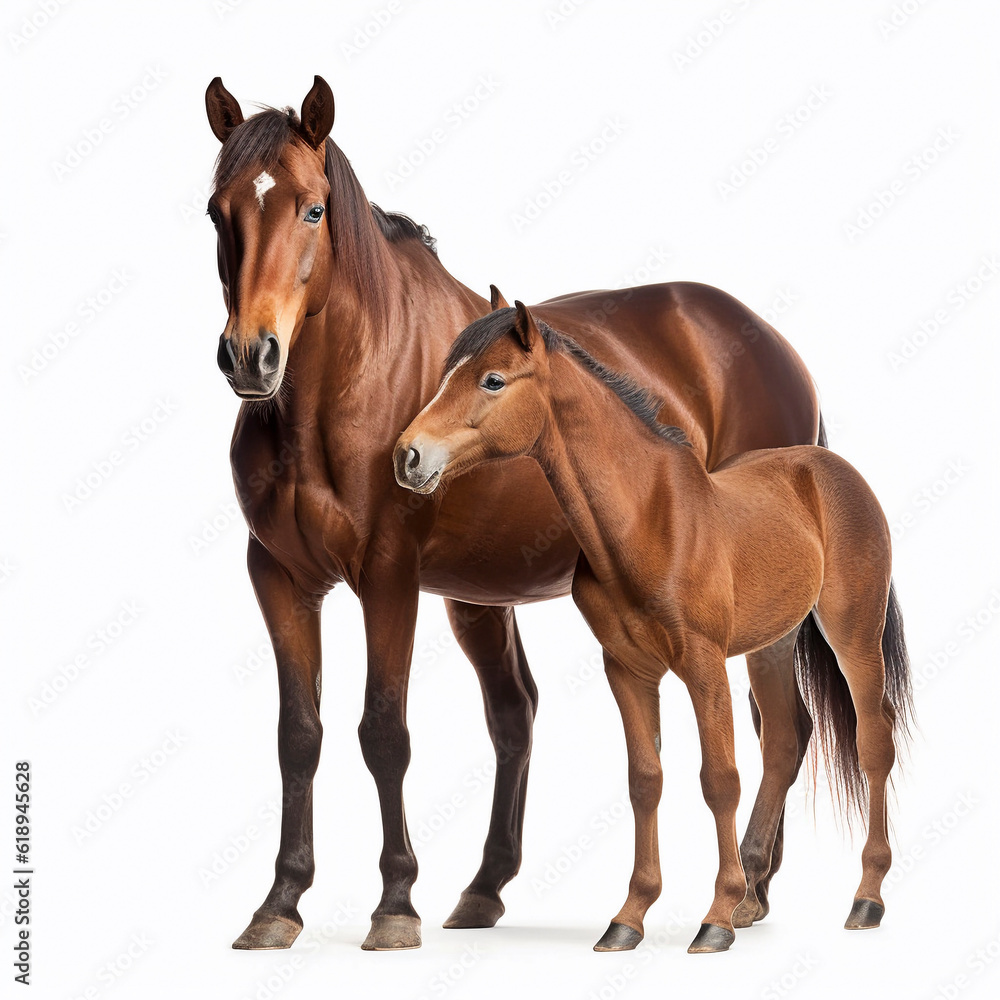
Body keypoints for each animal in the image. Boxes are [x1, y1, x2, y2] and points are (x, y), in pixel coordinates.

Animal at [205, 74, 839, 952]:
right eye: (217, 211)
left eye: (311, 208)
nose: (251, 356)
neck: (346, 387)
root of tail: (771, 343)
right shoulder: (279, 577)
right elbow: (299, 736)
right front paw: (280, 902)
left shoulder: (388, 576)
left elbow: (383, 732)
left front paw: (394, 903)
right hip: (483, 600)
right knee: (523, 714)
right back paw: (501, 887)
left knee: (781, 728)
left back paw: (742, 892)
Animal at [393, 300, 913, 953]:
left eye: (492, 380)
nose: (407, 456)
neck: (647, 519)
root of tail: (829, 466)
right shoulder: (628, 670)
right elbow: (645, 781)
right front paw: (629, 919)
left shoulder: (703, 664)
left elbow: (719, 779)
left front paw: (714, 920)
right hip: (773, 644)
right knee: (785, 739)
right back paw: (754, 899)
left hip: (854, 633)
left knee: (874, 740)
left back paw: (866, 899)